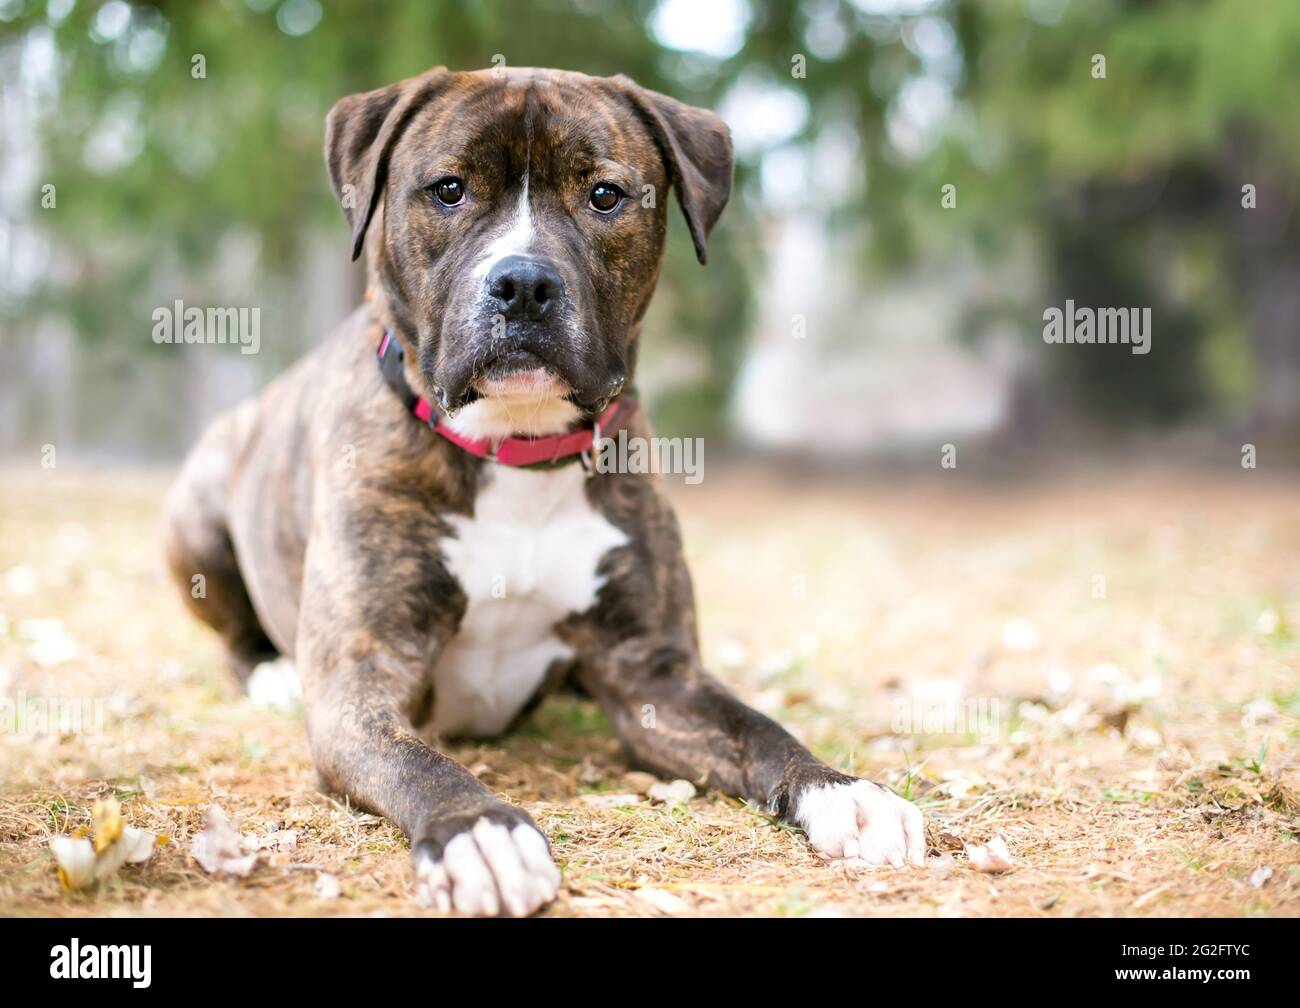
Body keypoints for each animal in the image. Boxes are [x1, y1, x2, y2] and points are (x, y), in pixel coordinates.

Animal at [165, 66, 925, 920]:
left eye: (604, 195)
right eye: (449, 188)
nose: (523, 281)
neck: (518, 451)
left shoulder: (653, 674)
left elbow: (758, 727)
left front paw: (842, 791)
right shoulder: (360, 685)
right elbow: (418, 761)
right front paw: (480, 832)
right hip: (196, 510)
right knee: (234, 634)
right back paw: (269, 673)